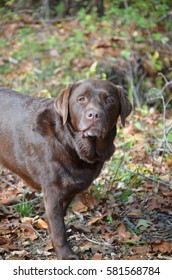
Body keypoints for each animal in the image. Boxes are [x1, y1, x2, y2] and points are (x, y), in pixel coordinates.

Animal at [0, 79, 132, 258]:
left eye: (109, 100)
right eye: (81, 99)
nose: (94, 115)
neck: (71, 143)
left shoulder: (68, 190)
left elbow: (57, 220)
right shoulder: (53, 191)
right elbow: (58, 228)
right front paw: (66, 255)